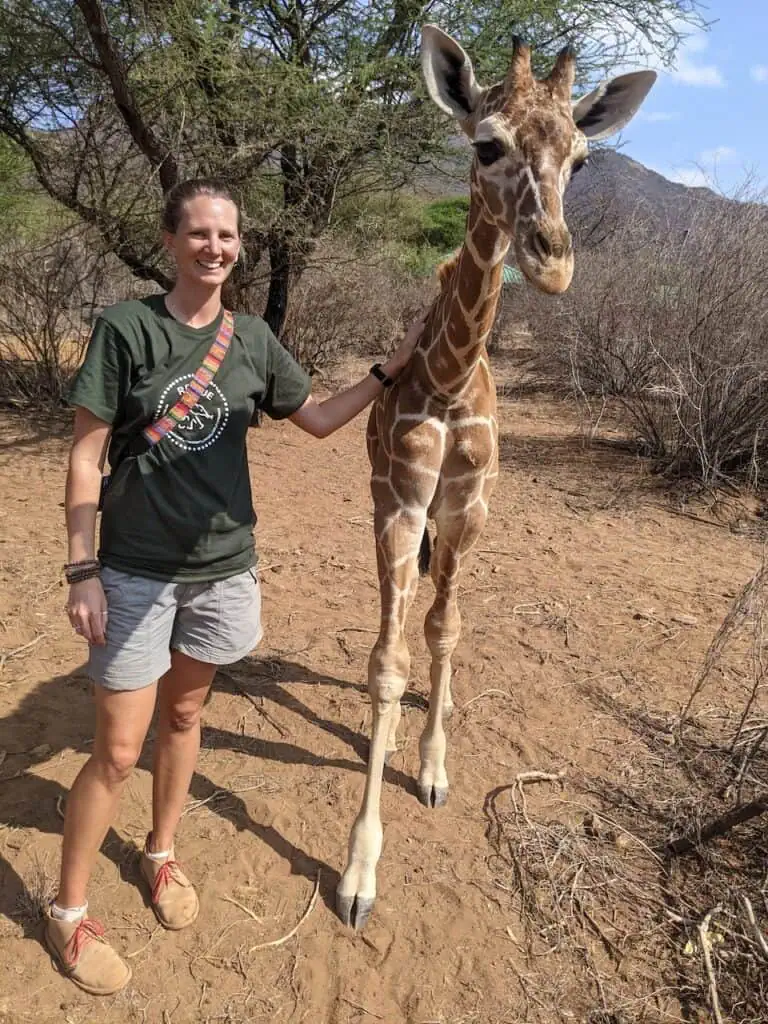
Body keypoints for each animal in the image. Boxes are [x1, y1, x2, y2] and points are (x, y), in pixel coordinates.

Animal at [336, 24, 656, 929]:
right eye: (487, 145)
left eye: (582, 158)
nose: (553, 263)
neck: (446, 378)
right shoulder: (400, 505)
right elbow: (387, 662)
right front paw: (359, 873)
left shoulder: (469, 506)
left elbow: (445, 632)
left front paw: (434, 768)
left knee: (445, 622)